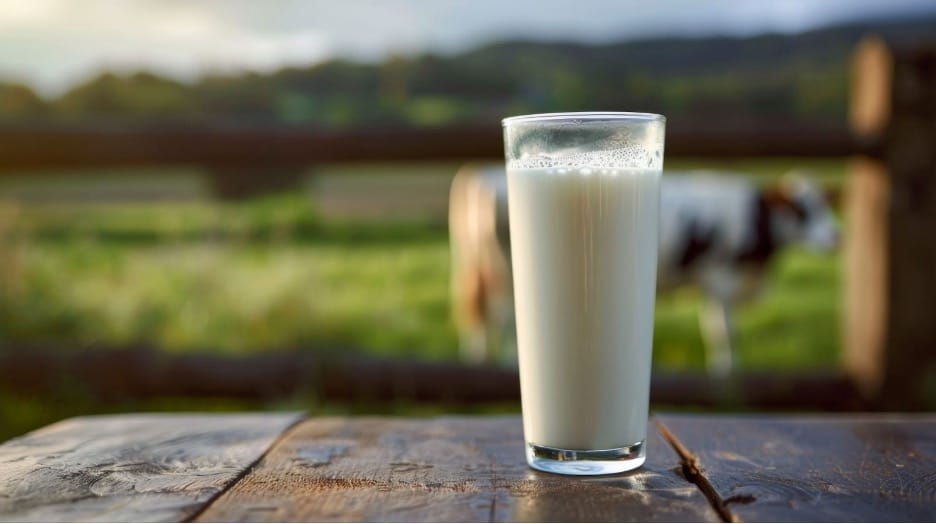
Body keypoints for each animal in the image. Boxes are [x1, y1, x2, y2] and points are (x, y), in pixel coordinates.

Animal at [448, 166, 840, 374]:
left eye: (825, 204)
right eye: (801, 210)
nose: (835, 237)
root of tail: (482, 173)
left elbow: (722, 330)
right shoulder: (721, 279)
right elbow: (724, 333)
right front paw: (726, 372)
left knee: (481, 320)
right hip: (503, 272)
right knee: (502, 319)